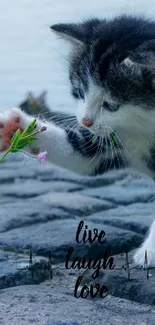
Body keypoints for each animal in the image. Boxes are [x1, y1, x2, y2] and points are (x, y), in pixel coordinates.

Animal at [0, 14, 155, 266]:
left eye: (111, 105)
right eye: (80, 92)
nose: (84, 121)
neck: (142, 128)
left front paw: (150, 251)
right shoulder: (111, 138)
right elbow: (82, 156)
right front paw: (15, 128)